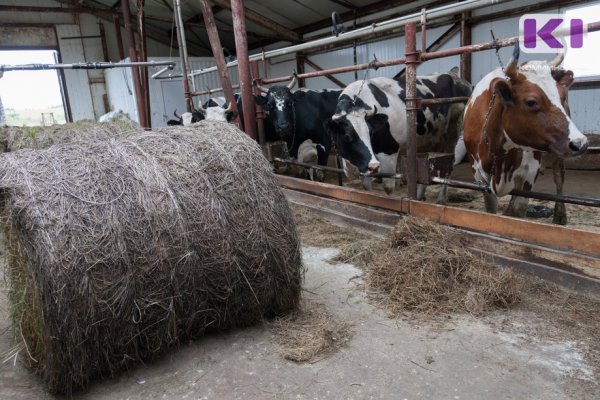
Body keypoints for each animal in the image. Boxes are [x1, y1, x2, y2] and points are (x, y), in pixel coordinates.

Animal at [324, 71, 474, 198]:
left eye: (371, 133)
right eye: (347, 137)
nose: (374, 166)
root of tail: (455, 76)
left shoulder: (389, 152)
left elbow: (388, 188)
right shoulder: (365, 161)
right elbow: (367, 187)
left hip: (453, 133)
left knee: (449, 164)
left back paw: (441, 198)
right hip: (431, 139)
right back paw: (420, 196)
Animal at [462, 43, 588, 219]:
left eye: (562, 96)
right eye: (531, 102)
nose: (580, 143)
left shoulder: (530, 172)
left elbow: (518, 210)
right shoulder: (479, 175)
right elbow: (491, 210)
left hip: (558, 155)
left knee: (559, 178)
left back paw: (559, 216)